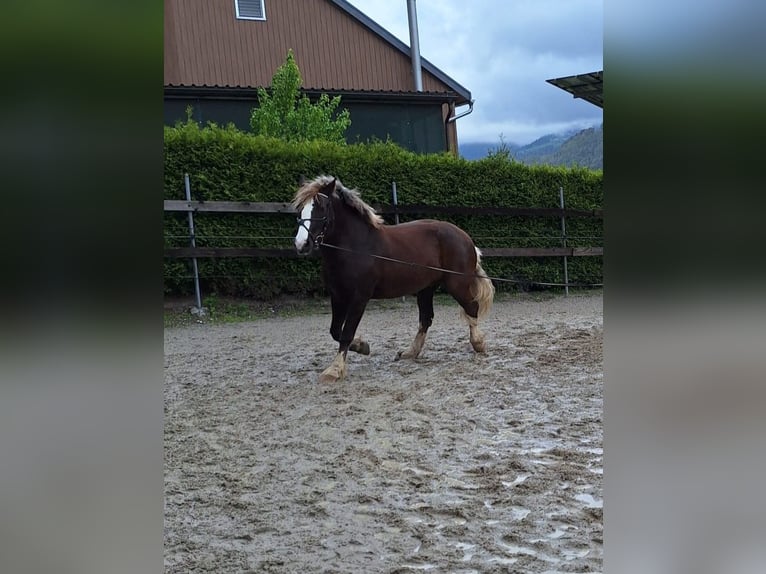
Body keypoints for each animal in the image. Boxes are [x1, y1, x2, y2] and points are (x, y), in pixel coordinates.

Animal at [292, 175, 495, 383]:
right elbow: (335, 331)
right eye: (300, 208)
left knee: (472, 307)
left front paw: (335, 369)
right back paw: (409, 352)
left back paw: (478, 344)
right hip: (426, 288)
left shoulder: (359, 298)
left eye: (323, 207)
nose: (302, 244)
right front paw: (362, 347)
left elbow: (346, 332)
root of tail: (465, 237)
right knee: (426, 319)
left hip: (457, 284)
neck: (355, 247)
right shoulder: (338, 296)